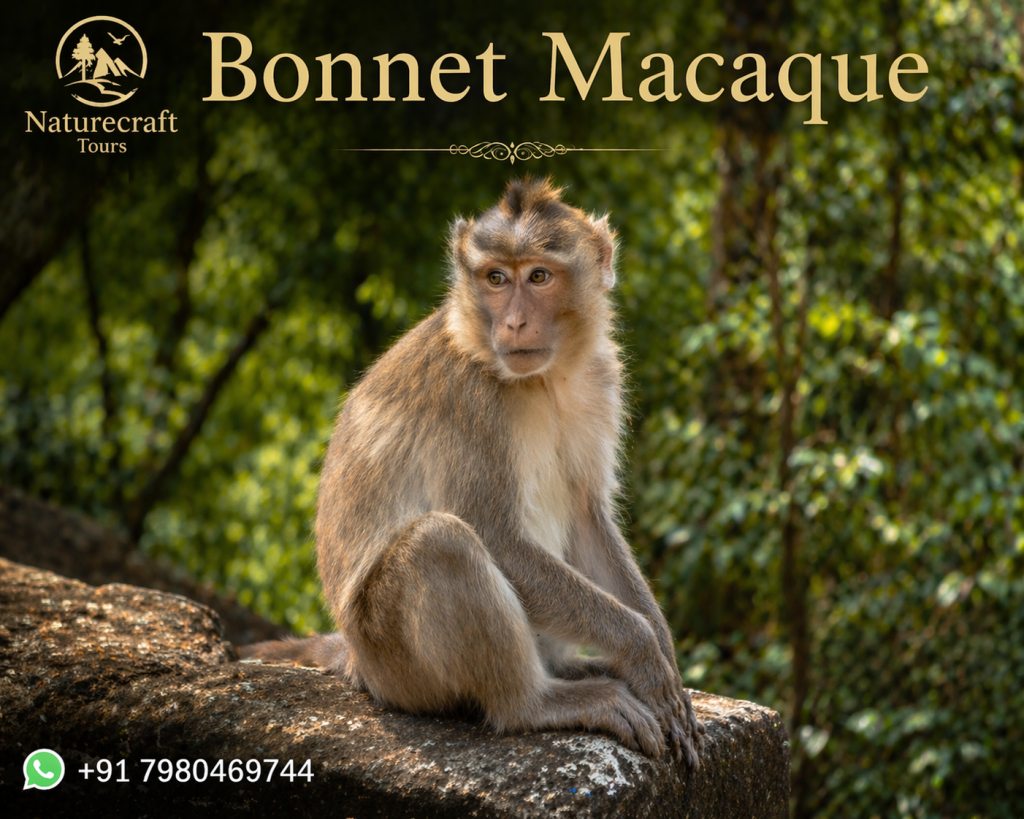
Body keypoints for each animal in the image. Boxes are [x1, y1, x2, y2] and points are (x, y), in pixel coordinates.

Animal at [243, 179, 706, 766]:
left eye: (538, 276)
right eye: (495, 278)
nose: (513, 322)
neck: (545, 379)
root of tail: (356, 660)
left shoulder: (601, 378)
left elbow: (586, 517)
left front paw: (663, 655)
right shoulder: (470, 400)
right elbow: (494, 535)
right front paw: (643, 650)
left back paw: (573, 669)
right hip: (395, 662)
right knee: (440, 543)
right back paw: (537, 701)